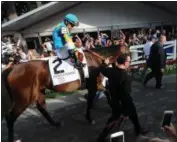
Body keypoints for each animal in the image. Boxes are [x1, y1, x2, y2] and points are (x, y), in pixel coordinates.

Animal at [1, 45, 130, 142]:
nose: (128, 67)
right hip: (24, 98)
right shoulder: (93, 86)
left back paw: (55, 123)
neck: (95, 59)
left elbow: (107, 93)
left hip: (38, 91)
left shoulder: (99, 84)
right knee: (10, 117)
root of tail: (12, 69)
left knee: (41, 107)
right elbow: (90, 102)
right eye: (128, 54)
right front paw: (89, 118)